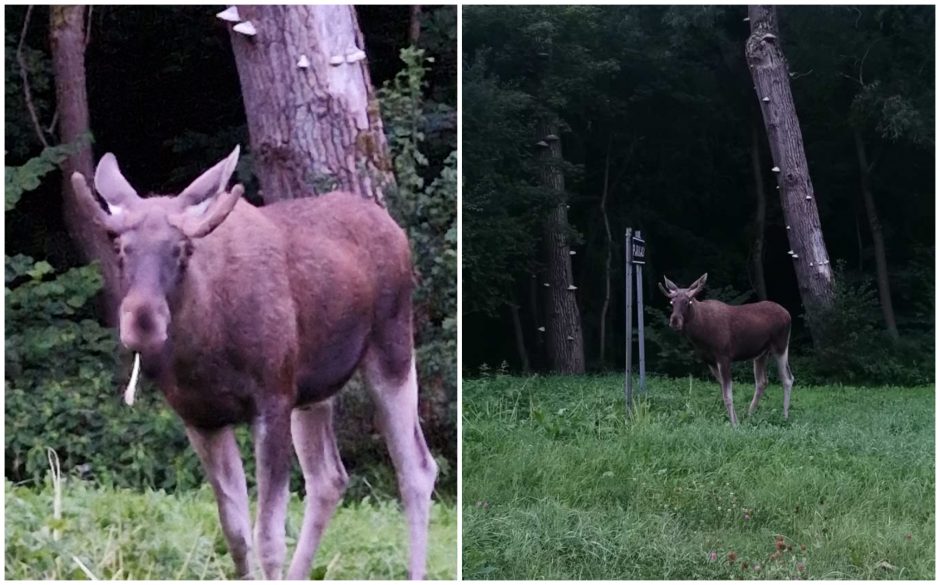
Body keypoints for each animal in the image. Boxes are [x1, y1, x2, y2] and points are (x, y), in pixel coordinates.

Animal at [71, 147, 438, 580]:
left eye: (183, 250)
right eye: (120, 249)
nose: (143, 322)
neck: (204, 350)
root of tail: (395, 229)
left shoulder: (272, 400)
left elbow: (269, 537)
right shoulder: (201, 419)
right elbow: (236, 534)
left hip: (392, 351)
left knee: (416, 469)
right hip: (313, 394)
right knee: (329, 478)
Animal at [660, 272, 792, 426]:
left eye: (688, 301)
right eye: (672, 302)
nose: (675, 321)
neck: (700, 334)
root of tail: (788, 314)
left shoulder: (724, 357)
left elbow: (728, 396)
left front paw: (734, 424)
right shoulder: (709, 361)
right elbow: (725, 391)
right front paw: (737, 421)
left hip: (781, 346)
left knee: (787, 378)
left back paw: (784, 416)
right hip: (761, 354)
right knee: (762, 382)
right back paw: (749, 415)